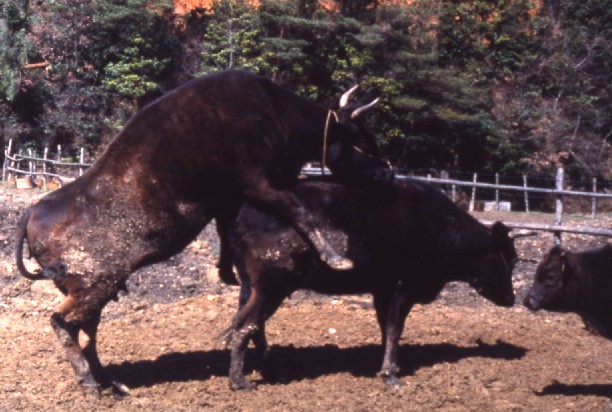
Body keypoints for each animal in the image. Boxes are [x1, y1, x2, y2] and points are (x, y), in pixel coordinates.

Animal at [16, 69, 394, 392]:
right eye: (362, 140)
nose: (388, 173)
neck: (274, 112)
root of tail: (34, 210)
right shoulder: (262, 183)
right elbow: (300, 211)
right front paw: (333, 254)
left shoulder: (232, 198)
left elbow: (230, 238)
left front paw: (228, 274)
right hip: (94, 286)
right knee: (62, 322)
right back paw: (89, 380)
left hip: (97, 291)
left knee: (87, 334)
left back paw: (109, 381)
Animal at [227, 178, 520, 390]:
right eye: (510, 259)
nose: (512, 298)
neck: (439, 228)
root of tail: (245, 211)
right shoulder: (404, 287)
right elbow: (394, 327)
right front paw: (390, 374)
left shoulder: (383, 290)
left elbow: (385, 327)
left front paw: (387, 365)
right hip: (274, 284)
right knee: (245, 327)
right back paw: (239, 381)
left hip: (252, 287)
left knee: (251, 326)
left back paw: (269, 370)